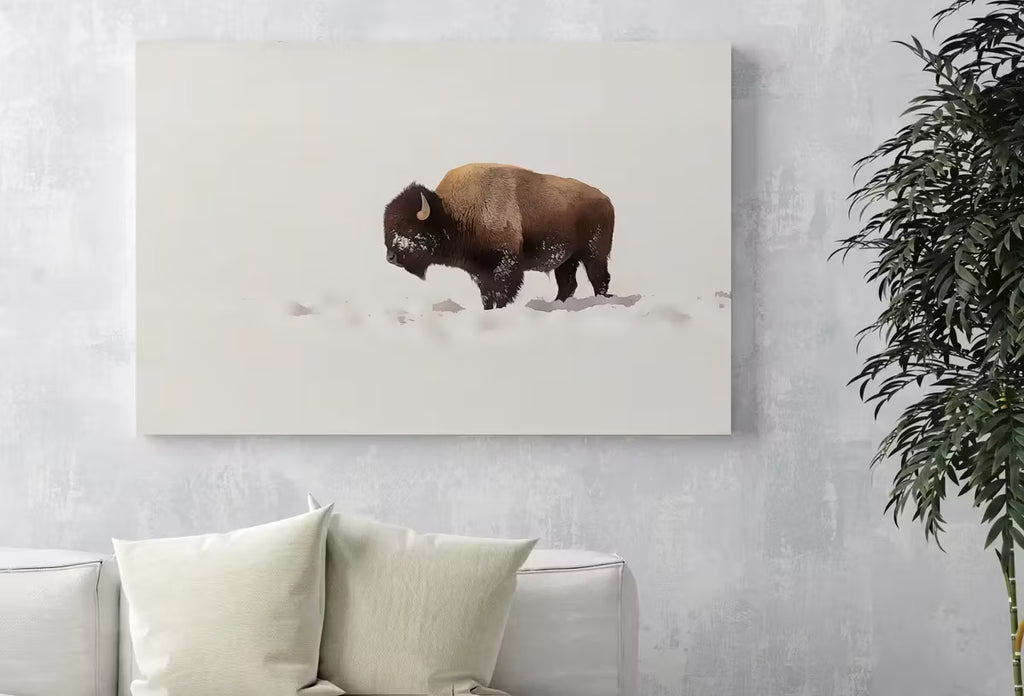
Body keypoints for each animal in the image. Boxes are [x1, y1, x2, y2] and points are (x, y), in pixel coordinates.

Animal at [383, 163, 614, 309]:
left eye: (408, 227)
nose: (390, 257)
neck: (452, 213)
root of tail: (605, 199)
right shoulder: (480, 272)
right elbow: (487, 295)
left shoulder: (505, 265)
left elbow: (502, 292)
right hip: (567, 260)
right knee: (568, 284)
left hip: (594, 255)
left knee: (599, 279)